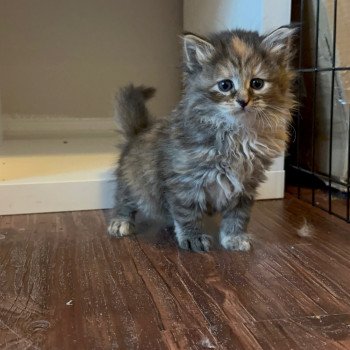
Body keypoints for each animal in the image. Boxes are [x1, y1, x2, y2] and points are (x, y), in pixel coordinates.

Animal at [108, 26, 296, 252]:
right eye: (225, 85)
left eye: (257, 83)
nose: (243, 101)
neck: (237, 135)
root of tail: (139, 131)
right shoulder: (184, 180)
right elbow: (187, 212)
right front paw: (193, 237)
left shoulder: (246, 184)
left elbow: (238, 215)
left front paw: (234, 237)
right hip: (136, 183)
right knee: (124, 198)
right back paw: (121, 221)